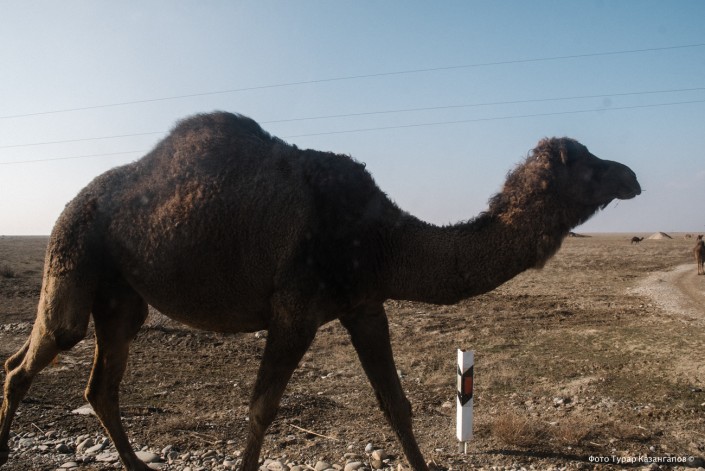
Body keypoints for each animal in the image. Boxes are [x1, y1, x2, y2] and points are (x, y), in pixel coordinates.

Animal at [0, 112, 641, 471]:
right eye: (587, 164)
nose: (631, 175)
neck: (381, 236)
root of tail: (75, 202)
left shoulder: (363, 304)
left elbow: (396, 405)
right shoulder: (295, 310)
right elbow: (261, 408)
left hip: (121, 297)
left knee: (100, 384)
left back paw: (135, 465)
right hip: (73, 249)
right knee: (31, 357)